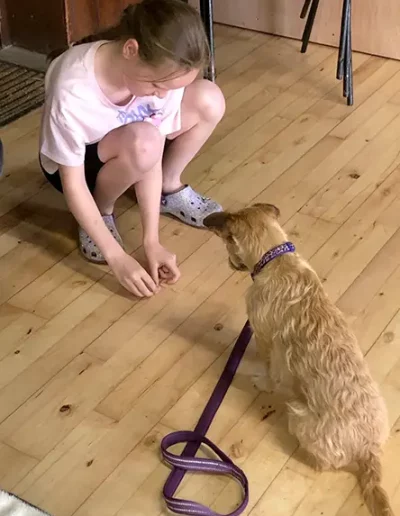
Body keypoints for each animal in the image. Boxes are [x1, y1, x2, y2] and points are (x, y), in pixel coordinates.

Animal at [205, 205, 392, 516]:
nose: (230, 263)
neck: (276, 259)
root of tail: (369, 448)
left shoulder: (263, 336)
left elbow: (268, 367)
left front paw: (261, 380)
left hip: (299, 418)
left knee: (323, 461)